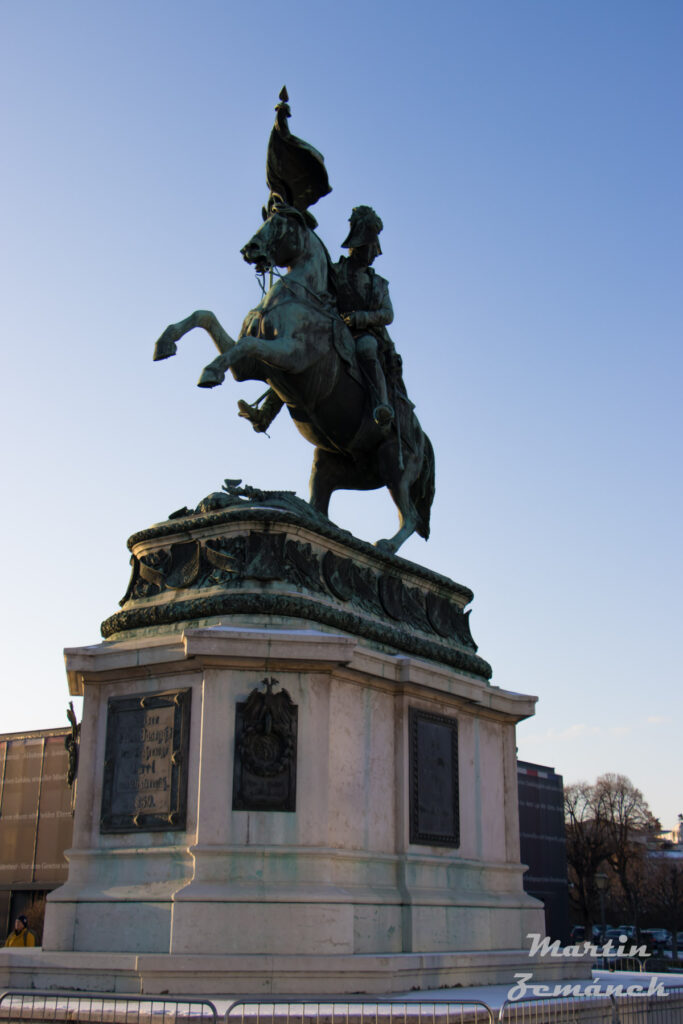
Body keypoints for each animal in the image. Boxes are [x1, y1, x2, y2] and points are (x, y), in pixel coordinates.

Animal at [152, 198, 436, 552]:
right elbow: (206, 317)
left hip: (393, 466)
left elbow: (246, 343)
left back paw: (385, 545)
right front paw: (166, 342)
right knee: (320, 509)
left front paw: (211, 371)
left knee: (409, 515)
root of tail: (424, 438)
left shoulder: (293, 355)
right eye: (266, 221)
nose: (250, 249)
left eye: (281, 224)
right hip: (330, 465)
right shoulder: (250, 368)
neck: (297, 295)